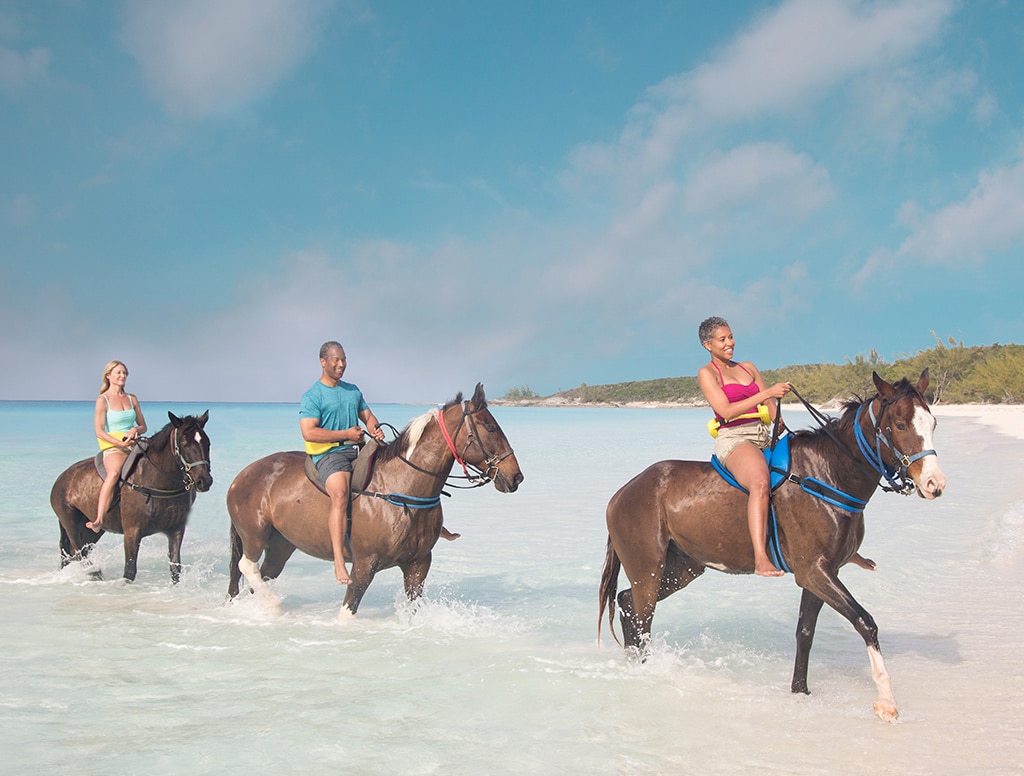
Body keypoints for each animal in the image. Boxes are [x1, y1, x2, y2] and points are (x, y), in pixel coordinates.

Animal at [51, 413, 214, 581]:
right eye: (184, 443)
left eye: (207, 443)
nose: (204, 481)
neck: (158, 482)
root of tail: (61, 478)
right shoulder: (132, 532)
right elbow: (129, 571)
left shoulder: (176, 530)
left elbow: (175, 569)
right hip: (71, 523)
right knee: (78, 554)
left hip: (92, 530)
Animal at [228, 384, 524, 618]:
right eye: (490, 428)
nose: (516, 477)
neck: (403, 490)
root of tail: (240, 477)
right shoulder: (363, 566)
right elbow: (347, 613)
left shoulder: (418, 565)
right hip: (254, 534)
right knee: (247, 566)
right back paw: (274, 605)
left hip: (281, 544)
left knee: (263, 574)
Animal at [598, 370, 942, 724]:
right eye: (899, 424)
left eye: (933, 423)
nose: (935, 484)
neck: (828, 474)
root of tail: (621, 493)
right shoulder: (815, 572)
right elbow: (865, 622)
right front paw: (886, 701)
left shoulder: (821, 573)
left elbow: (805, 633)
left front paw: (800, 691)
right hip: (648, 570)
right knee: (642, 616)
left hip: (683, 568)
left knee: (627, 603)